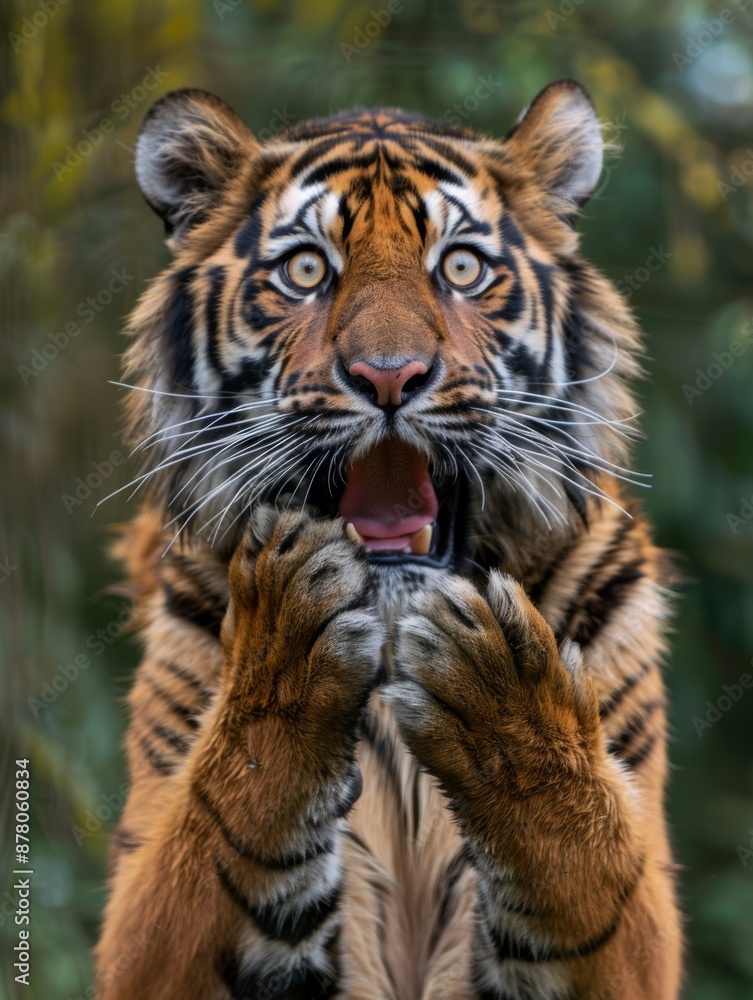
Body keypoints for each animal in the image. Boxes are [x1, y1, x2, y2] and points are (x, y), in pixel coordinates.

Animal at [94, 80, 683, 999]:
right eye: (305, 271)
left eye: (461, 268)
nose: (389, 376)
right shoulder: (145, 938)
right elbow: (223, 813)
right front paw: (284, 647)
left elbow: (587, 866)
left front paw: (511, 711)